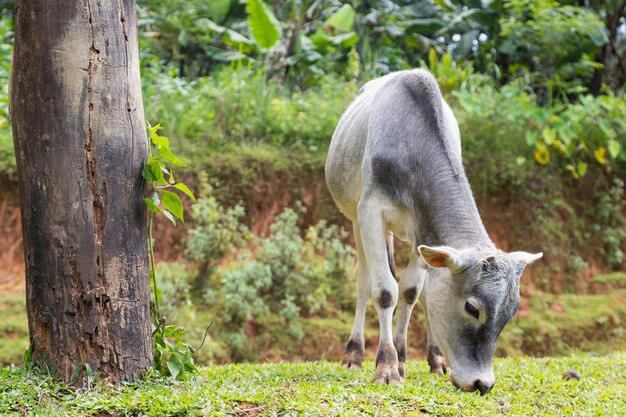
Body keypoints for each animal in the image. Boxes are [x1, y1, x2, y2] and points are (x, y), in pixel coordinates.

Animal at [324, 68, 540, 394]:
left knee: (421, 292)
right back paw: (354, 354)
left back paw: (436, 358)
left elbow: (411, 291)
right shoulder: (370, 212)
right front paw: (387, 366)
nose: (482, 383)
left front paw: (402, 359)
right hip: (355, 219)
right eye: (472, 308)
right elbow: (385, 291)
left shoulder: (424, 234)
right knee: (364, 281)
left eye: (511, 311)